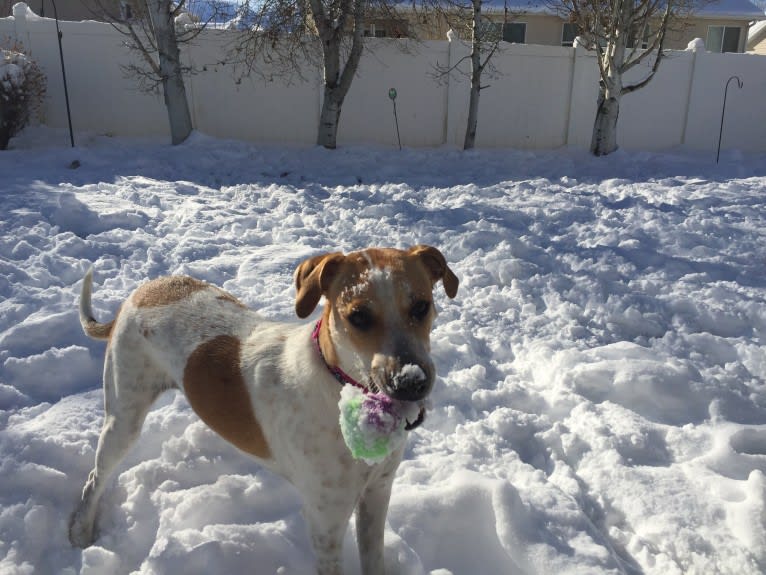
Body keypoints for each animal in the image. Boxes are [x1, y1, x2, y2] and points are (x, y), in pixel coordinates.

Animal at [69, 246, 460, 575]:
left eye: (421, 306)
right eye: (359, 316)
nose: (411, 382)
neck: (342, 388)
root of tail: (139, 293)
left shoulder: (378, 492)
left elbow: (374, 558)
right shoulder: (326, 520)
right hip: (124, 416)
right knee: (94, 478)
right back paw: (80, 532)